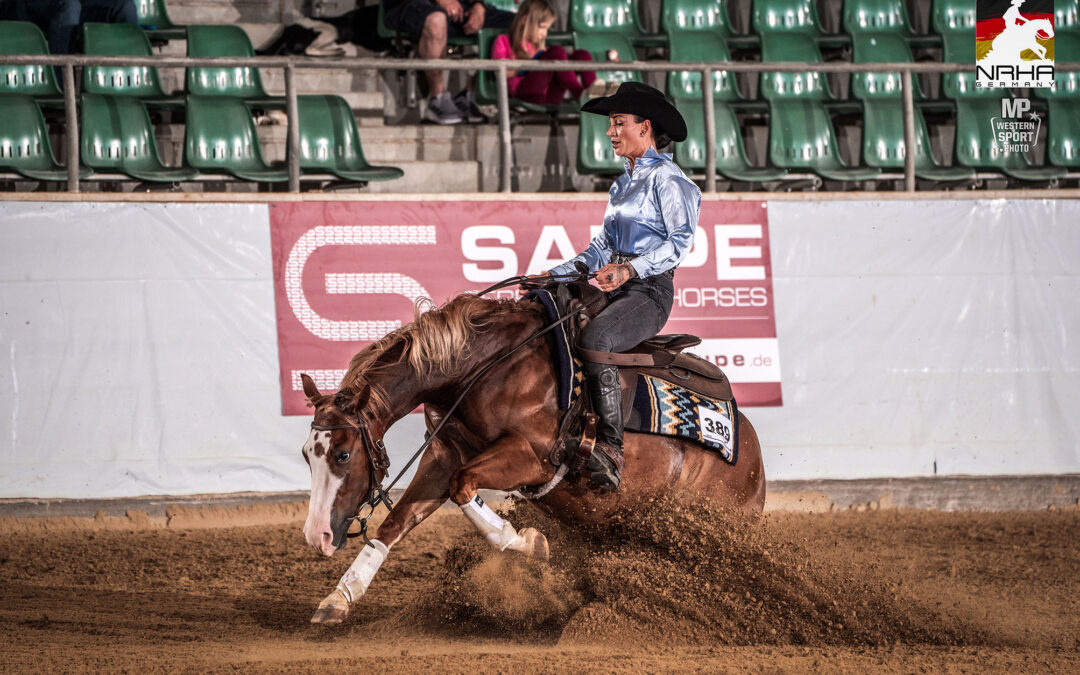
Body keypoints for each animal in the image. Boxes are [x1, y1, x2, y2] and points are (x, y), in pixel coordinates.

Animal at [300, 293, 764, 622]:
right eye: (308, 455)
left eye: (343, 453)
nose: (317, 536)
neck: (481, 368)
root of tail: (751, 455)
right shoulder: (444, 455)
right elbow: (395, 523)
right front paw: (339, 597)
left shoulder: (531, 457)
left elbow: (463, 486)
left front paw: (527, 543)